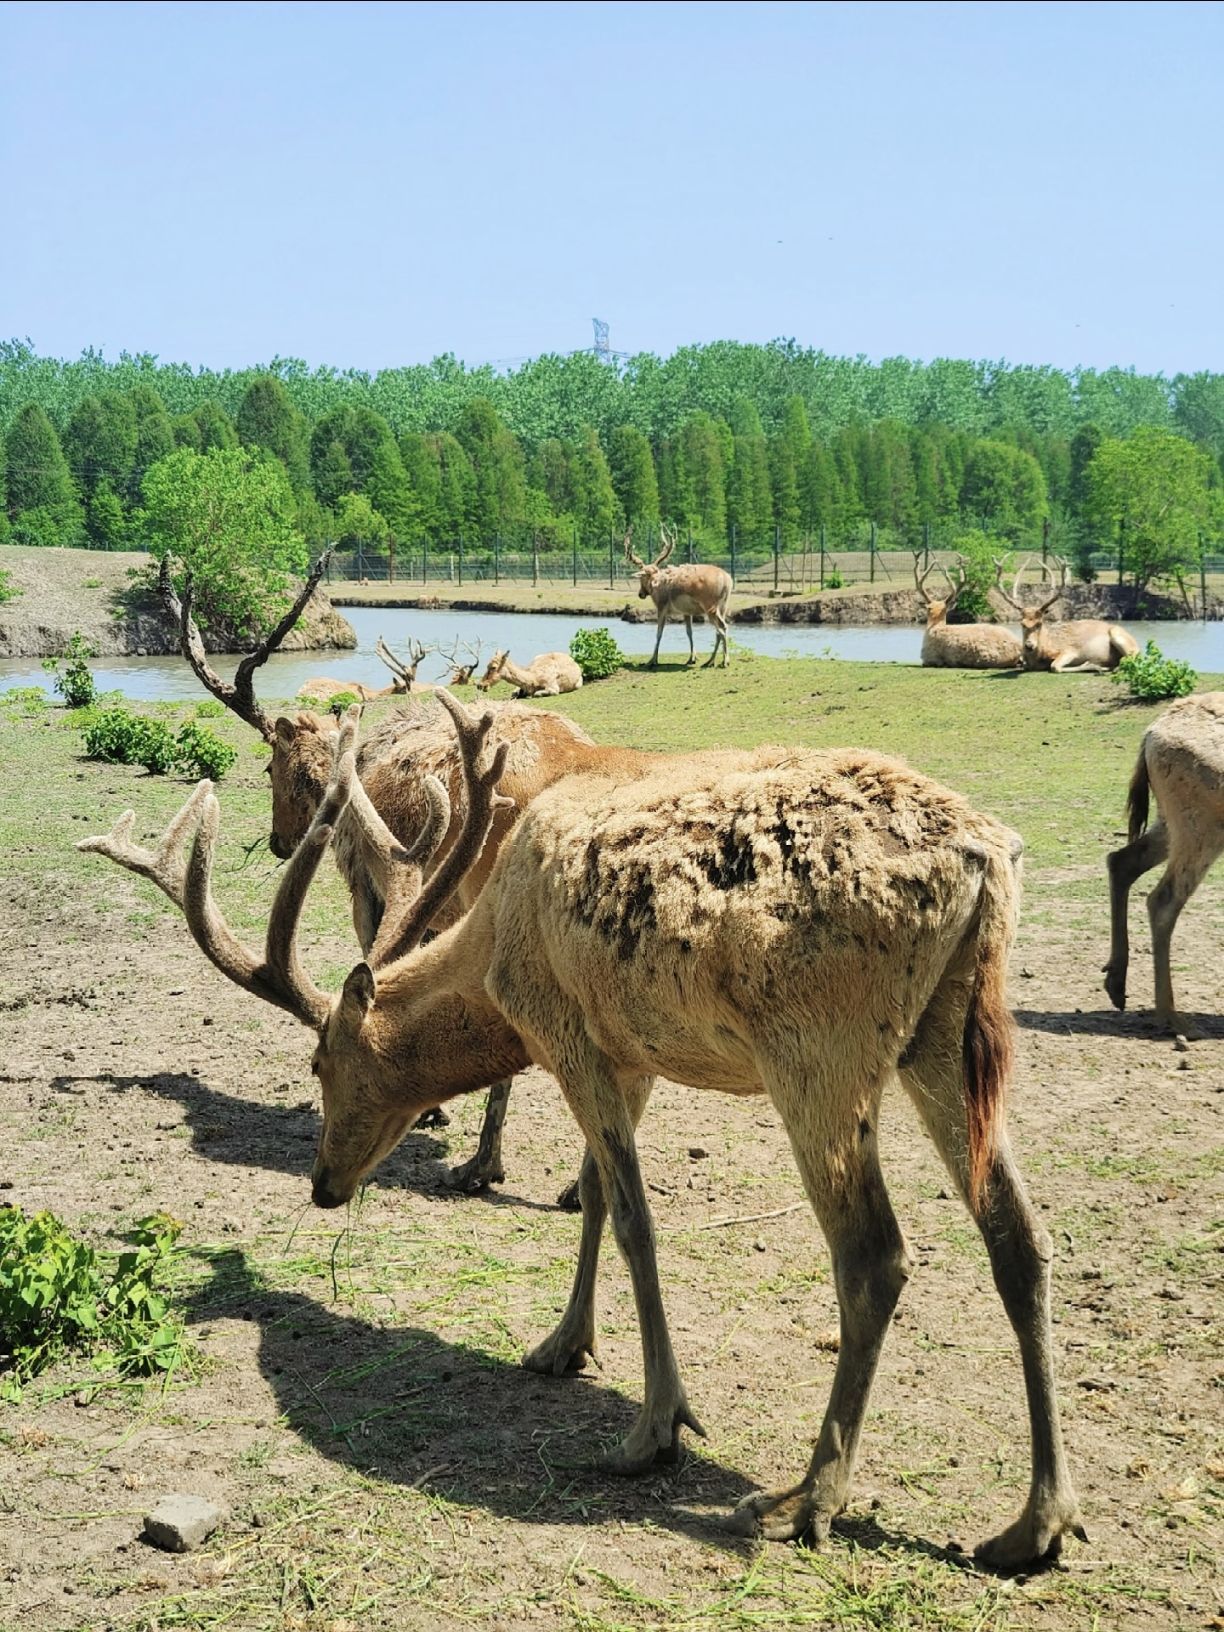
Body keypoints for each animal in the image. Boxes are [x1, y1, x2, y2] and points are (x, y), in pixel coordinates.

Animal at [80, 694, 1084, 1570]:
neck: (494, 949)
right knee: (1020, 1236)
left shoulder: (564, 1031)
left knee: (875, 1253)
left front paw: (655, 1425)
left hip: (819, 1048)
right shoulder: (628, 1051)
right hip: (946, 1036)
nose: (324, 1185)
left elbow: (637, 1217)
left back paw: (805, 1499)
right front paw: (563, 1345)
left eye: (320, 1065)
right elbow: (596, 1192)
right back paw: (1035, 1524)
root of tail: (986, 859)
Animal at [624, 524, 733, 669]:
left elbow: (659, 633)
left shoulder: (662, 607)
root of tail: (727, 580)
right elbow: (689, 632)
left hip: (710, 607)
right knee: (719, 630)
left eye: (641, 578)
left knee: (722, 628)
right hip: (723, 606)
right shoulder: (687, 612)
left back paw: (724, 661)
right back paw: (710, 661)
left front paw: (652, 660)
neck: (657, 585)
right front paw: (692, 658)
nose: (641, 594)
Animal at [994, 557, 1139, 673]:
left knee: (1131, 657)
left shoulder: (1070, 651)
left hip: (1119, 635)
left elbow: (1055, 666)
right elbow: (1028, 665)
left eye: (1039, 624)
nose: (1029, 645)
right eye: (1022, 623)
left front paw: (1092, 665)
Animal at [1103, 691, 1224, 1036]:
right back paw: (1172, 1016)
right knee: (1162, 899)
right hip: (1200, 827)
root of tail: (1150, 735)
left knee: (1122, 860)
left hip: (1172, 822)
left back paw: (1117, 984)